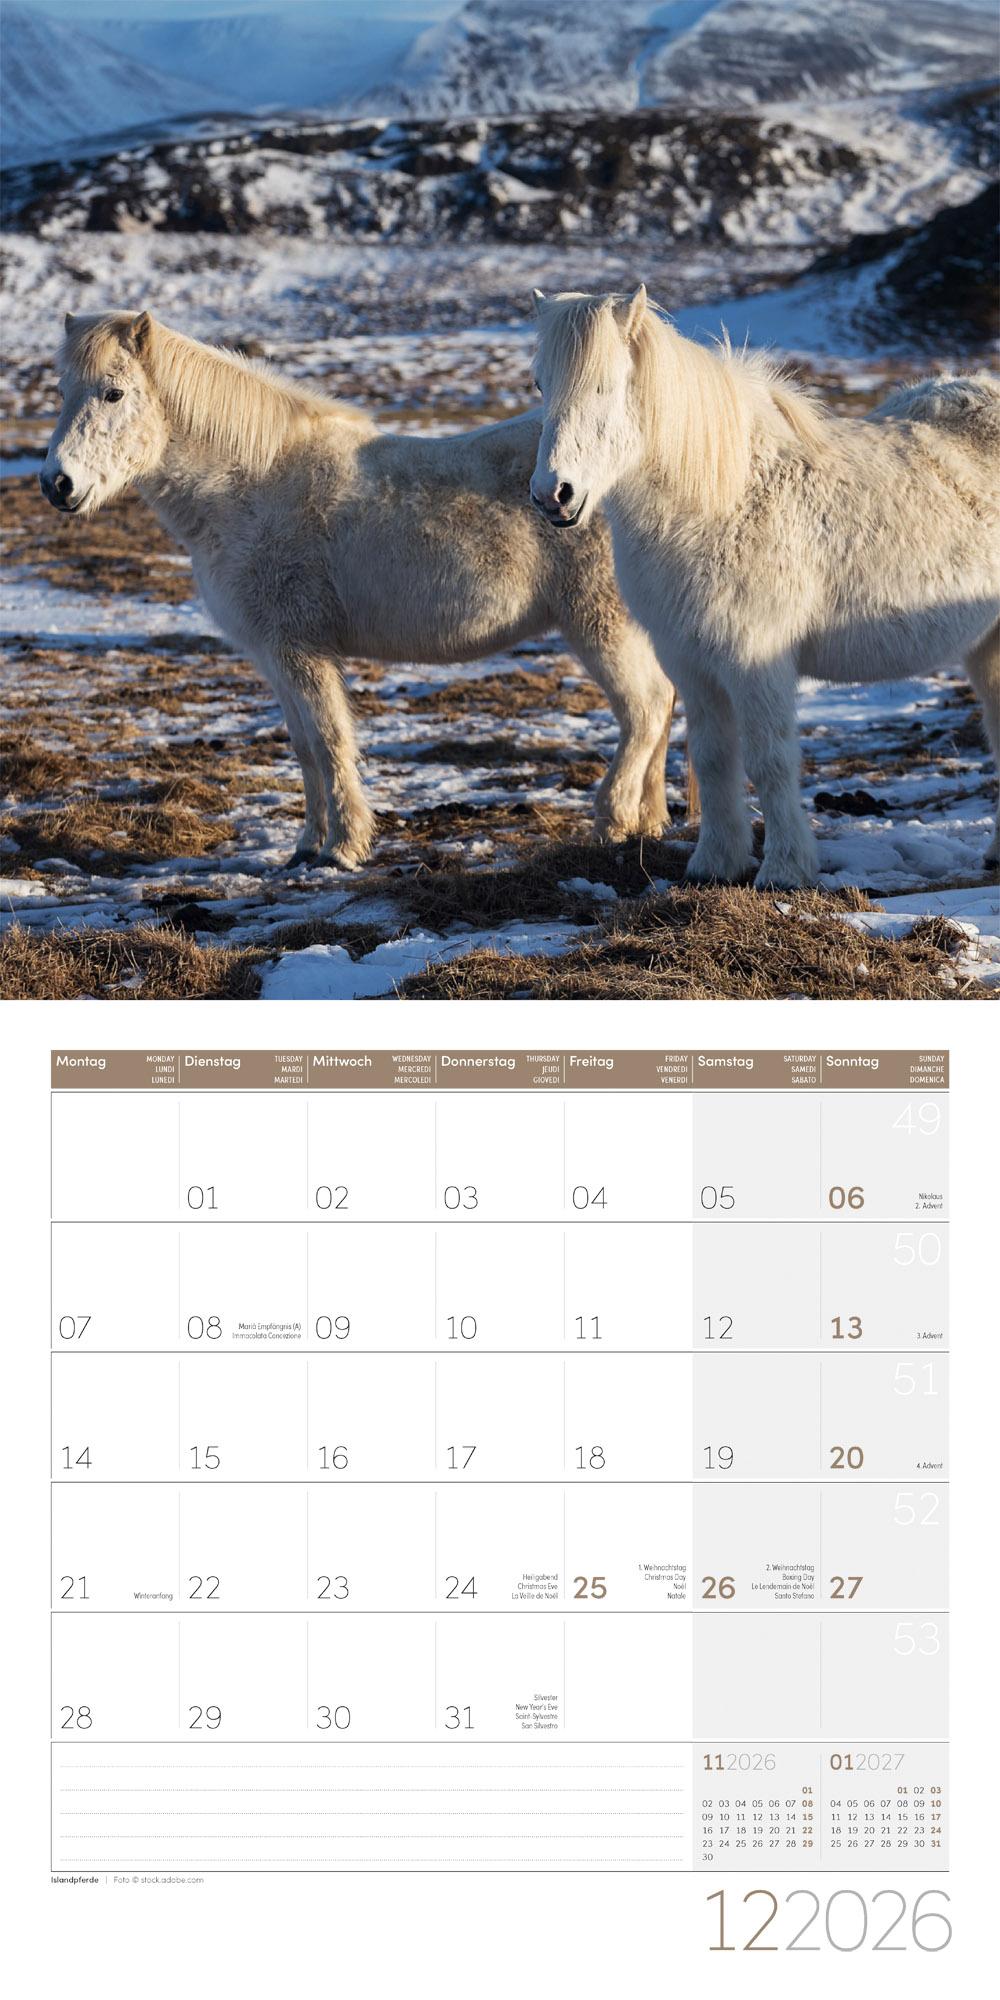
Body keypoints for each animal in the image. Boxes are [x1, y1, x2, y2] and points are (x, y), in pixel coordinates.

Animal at [39, 308, 687, 870]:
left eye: (114, 393)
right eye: (62, 392)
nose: (56, 484)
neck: (249, 488)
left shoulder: (303, 652)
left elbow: (330, 742)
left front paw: (343, 849)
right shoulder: (274, 655)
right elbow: (304, 749)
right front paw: (306, 846)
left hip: (600, 623)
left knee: (645, 709)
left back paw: (610, 822)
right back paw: (650, 822)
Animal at [529, 286, 1000, 890]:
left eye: (605, 385)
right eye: (541, 385)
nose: (553, 495)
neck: (719, 500)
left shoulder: (755, 660)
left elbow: (769, 760)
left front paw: (784, 870)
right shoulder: (690, 661)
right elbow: (712, 758)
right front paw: (714, 863)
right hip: (986, 646)